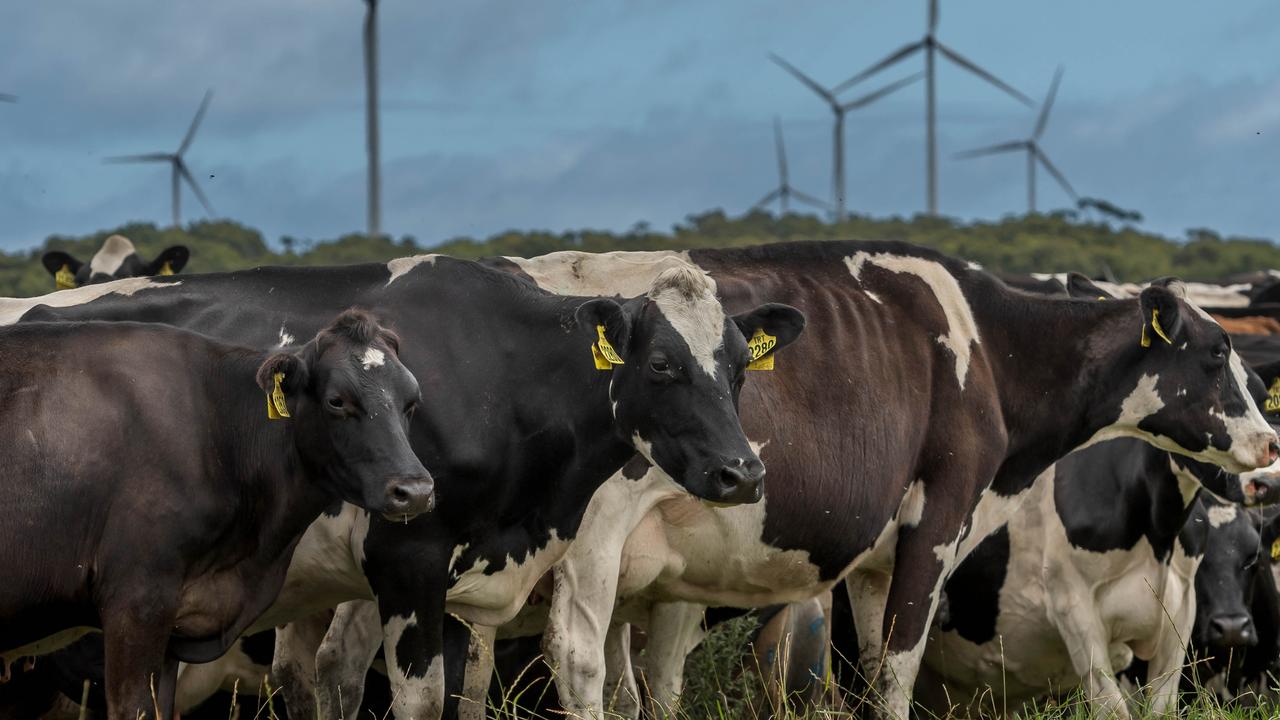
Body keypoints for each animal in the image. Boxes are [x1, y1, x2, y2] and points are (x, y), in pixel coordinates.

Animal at [296, 242, 1280, 717]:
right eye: (1216, 353)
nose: (1270, 441)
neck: (984, 344)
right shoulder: (940, 515)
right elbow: (896, 673)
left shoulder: (875, 558)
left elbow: (871, 668)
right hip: (585, 546)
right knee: (573, 663)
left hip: (397, 553)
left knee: (343, 664)